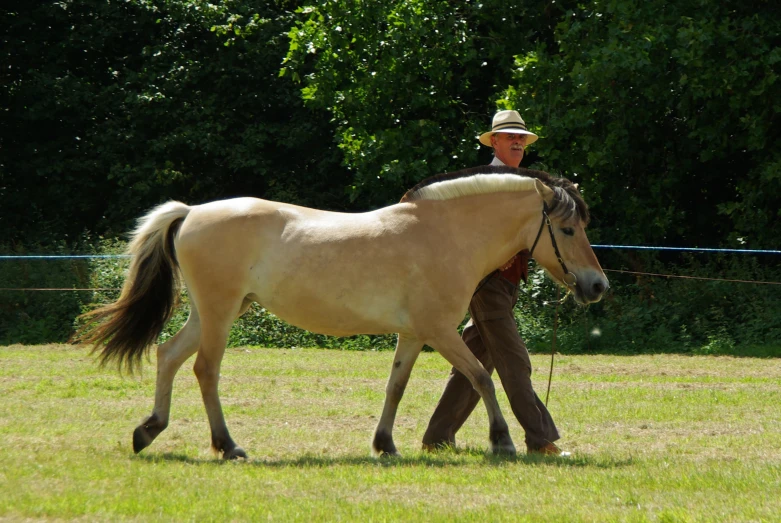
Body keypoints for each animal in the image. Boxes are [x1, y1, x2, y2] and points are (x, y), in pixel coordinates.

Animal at [76, 166, 608, 460]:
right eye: (566, 228)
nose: (597, 285)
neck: (444, 234)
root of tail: (192, 212)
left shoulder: (414, 335)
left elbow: (396, 386)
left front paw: (385, 444)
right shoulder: (440, 331)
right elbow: (481, 376)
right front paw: (503, 442)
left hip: (211, 314)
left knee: (168, 355)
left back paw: (148, 431)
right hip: (220, 313)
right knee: (205, 370)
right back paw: (228, 447)